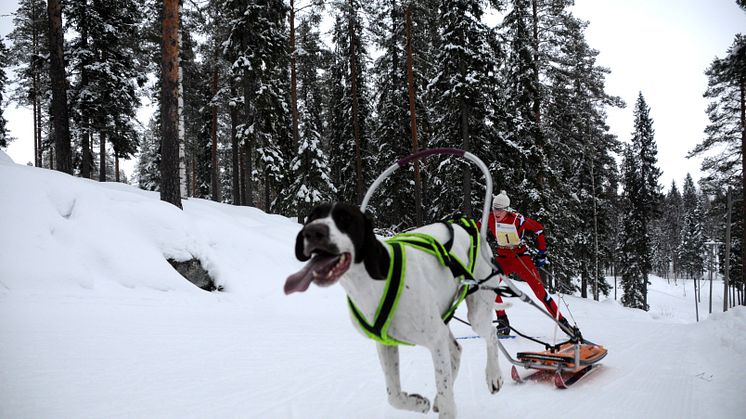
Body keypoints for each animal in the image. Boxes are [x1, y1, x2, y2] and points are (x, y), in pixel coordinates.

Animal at [284, 203, 506, 419]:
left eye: (345, 218)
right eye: (313, 216)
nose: (313, 232)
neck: (372, 282)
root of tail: (467, 226)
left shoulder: (434, 341)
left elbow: (446, 403)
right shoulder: (386, 344)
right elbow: (394, 397)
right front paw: (419, 403)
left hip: (476, 314)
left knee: (491, 334)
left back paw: (493, 375)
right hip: (443, 323)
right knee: (456, 350)